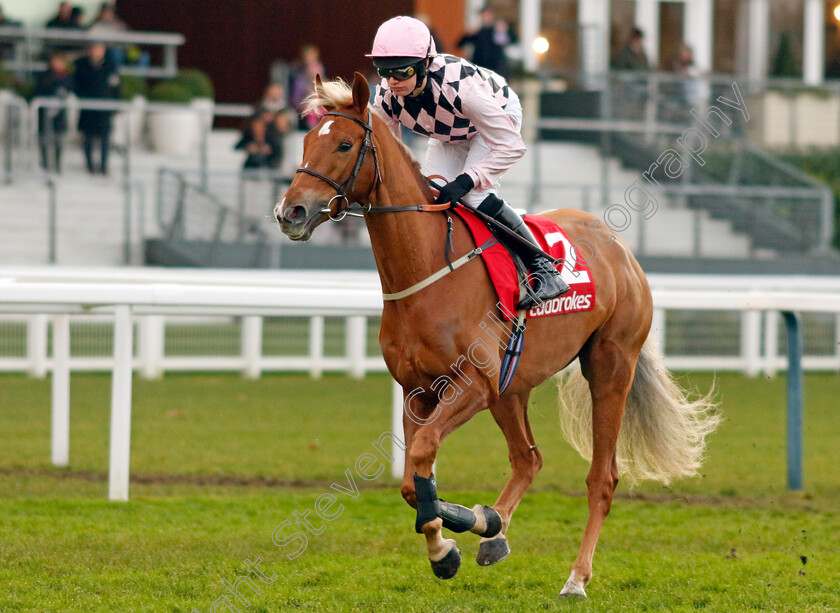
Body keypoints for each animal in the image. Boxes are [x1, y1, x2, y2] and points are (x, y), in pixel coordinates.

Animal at [274, 73, 716, 596]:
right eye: (305, 141)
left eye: (344, 144)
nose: (290, 211)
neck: (428, 268)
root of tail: (620, 247)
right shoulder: (419, 390)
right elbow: (412, 481)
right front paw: (451, 543)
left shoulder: (473, 383)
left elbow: (422, 455)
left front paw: (454, 534)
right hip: (513, 383)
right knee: (528, 459)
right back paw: (494, 530)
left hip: (609, 367)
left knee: (601, 478)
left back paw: (575, 577)